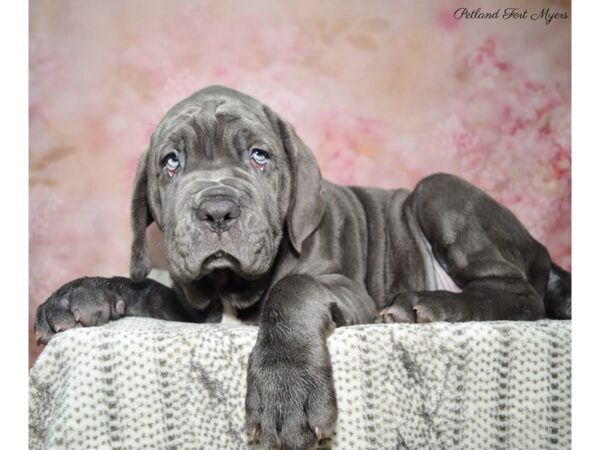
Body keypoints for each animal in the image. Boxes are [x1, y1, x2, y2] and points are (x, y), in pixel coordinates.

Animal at [35, 85, 568, 450]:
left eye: (259, 157)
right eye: (170, 162)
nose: (217, 210)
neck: (230, 286)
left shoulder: (344, 288)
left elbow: (291, 291)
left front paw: (285, 391)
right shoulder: (192, 310)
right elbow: (146, 287)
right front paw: (80, 293)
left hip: (440, 191)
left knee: (521, 295)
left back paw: (426, 304)